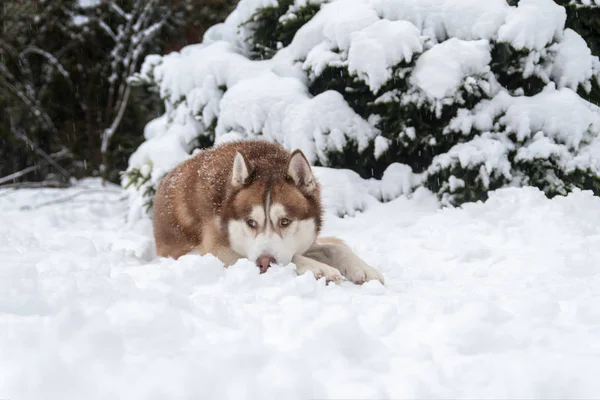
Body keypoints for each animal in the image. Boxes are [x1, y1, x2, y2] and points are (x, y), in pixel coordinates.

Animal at [151, 141, 384, 284]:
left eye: (285, 221)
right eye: (251, 223)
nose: (264, 262)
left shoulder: (303, 241)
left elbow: (334, 249)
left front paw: (362, 268)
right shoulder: (216, 252)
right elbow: (293, 257)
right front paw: (319, 269)